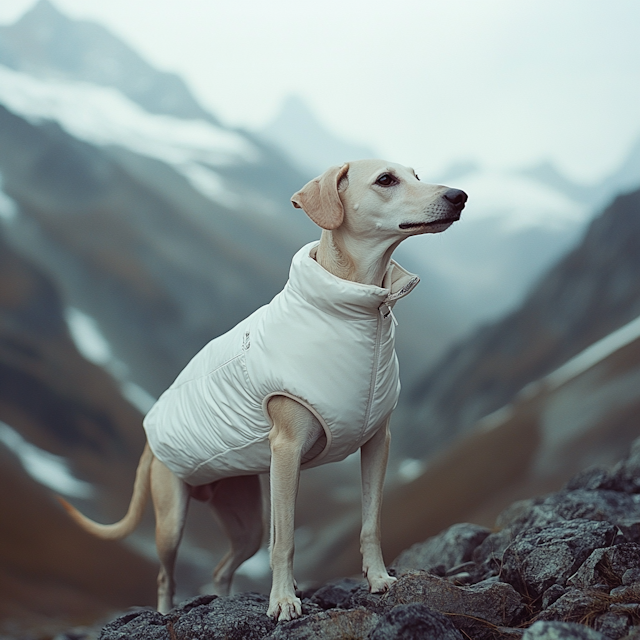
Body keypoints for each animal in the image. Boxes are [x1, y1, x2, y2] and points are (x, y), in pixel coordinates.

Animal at [60, 159, 468, 620]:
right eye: (385, 180)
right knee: (167, 575)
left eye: (415, 175)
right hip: (171, 520)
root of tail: (149, 436)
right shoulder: (286, 452)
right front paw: (284, 600)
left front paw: (378, 579)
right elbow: (286, 539)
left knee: (221, 567)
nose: (459, 196)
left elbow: (370, 522)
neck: (363, 308)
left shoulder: (378, 442)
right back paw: (165, 615)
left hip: (246, 522)